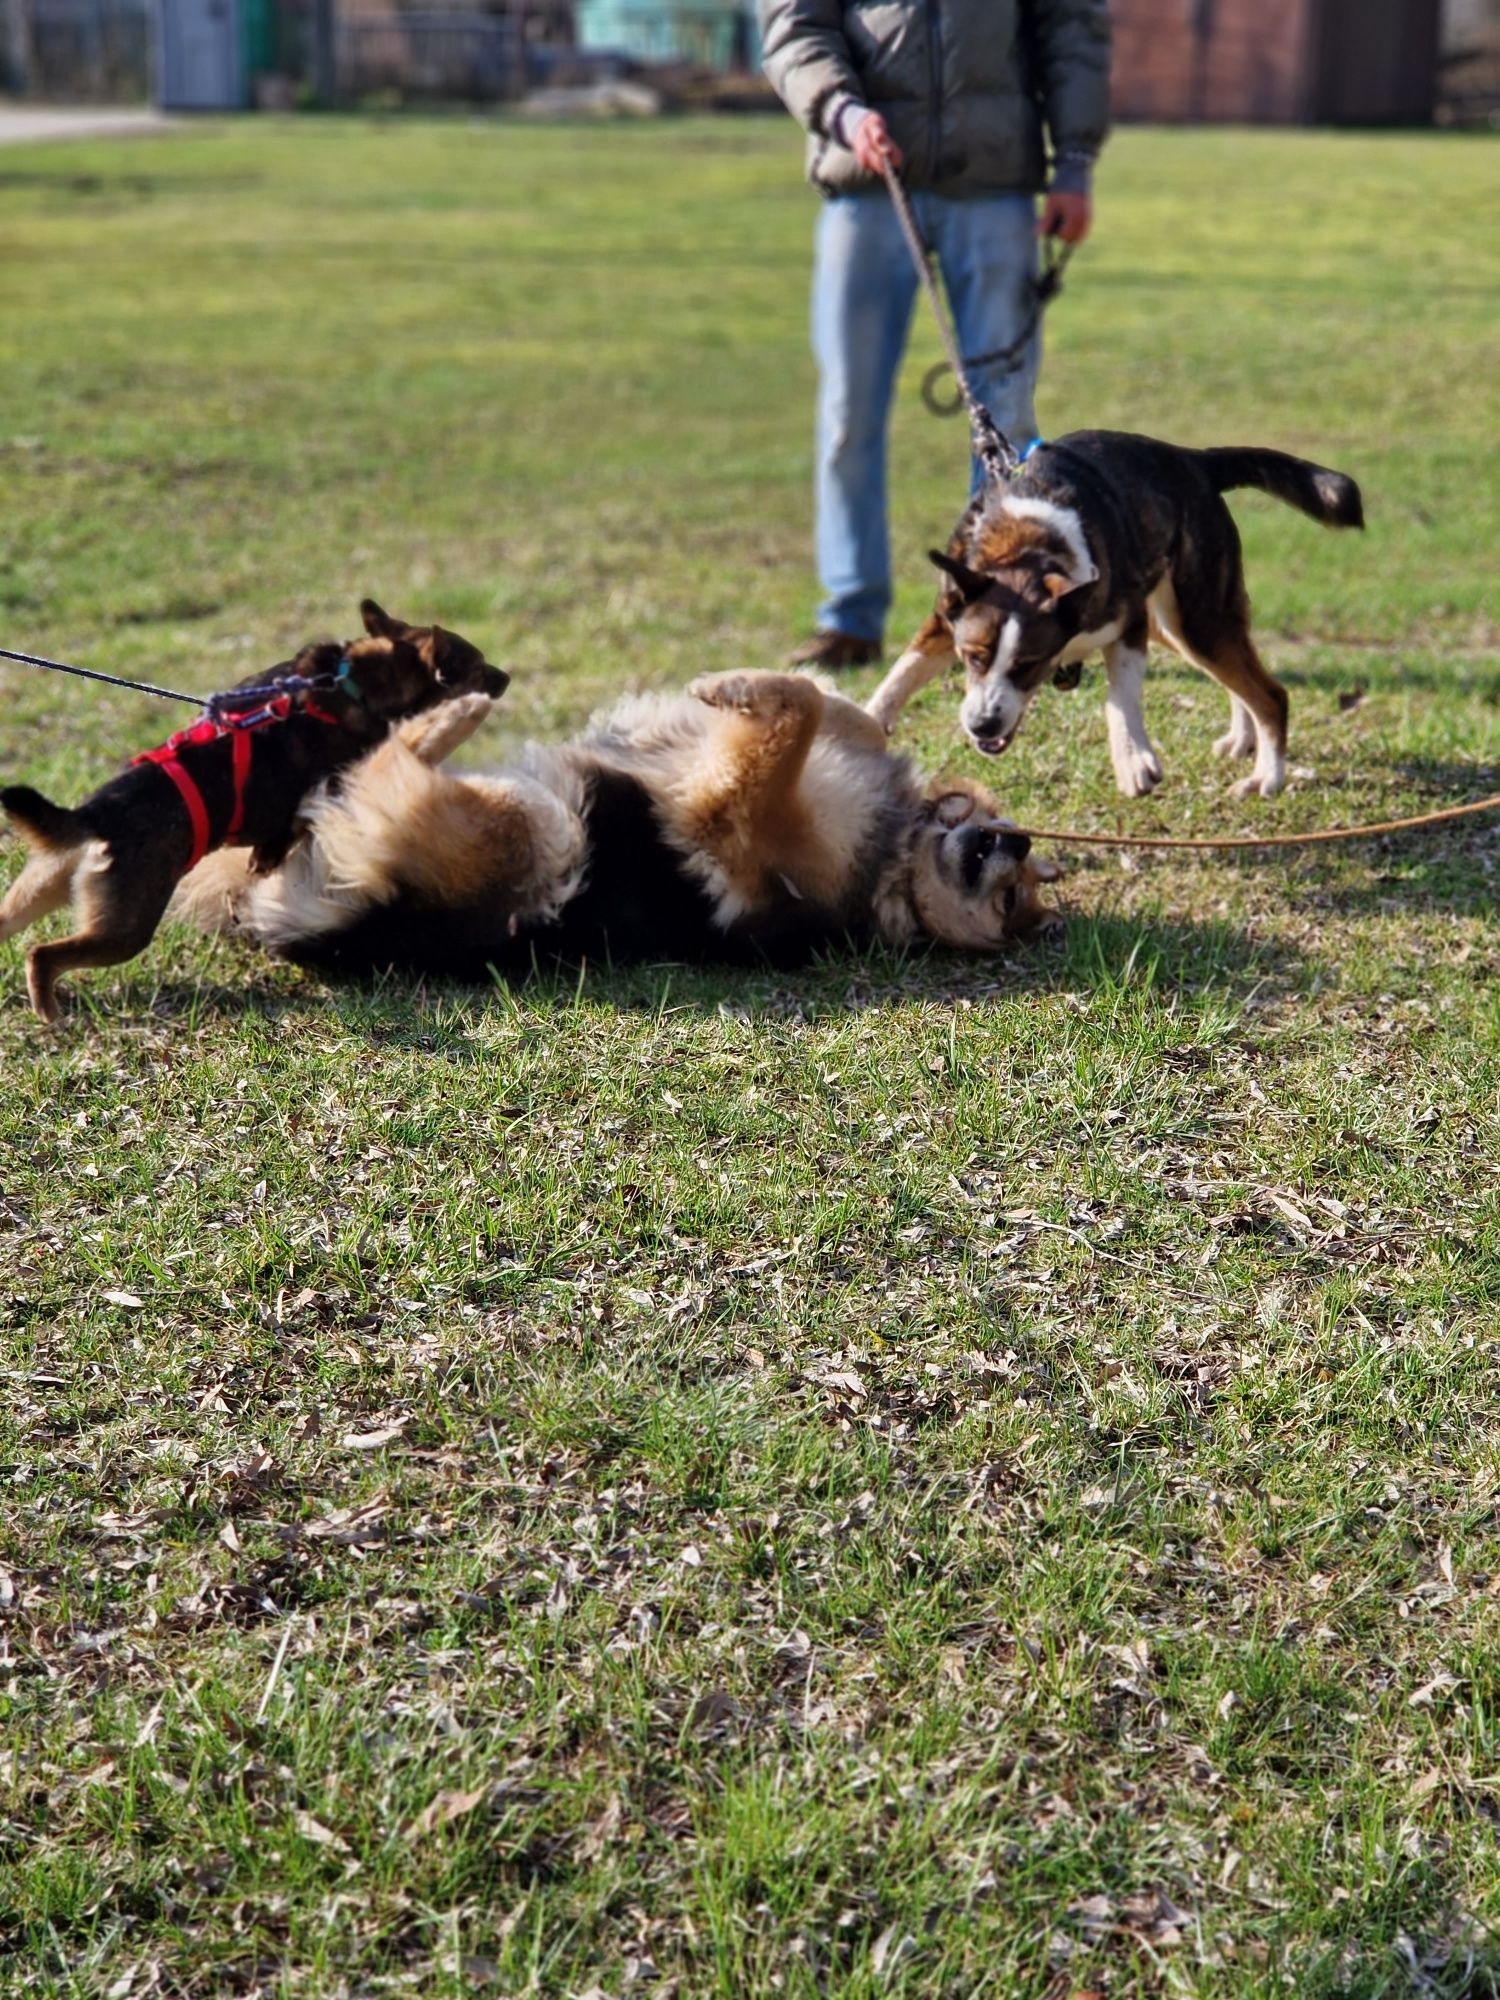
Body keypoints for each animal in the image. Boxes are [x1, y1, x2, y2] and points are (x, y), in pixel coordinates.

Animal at [0, 596, 508, 1024]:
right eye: (478, 666)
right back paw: (50, 1013)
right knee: (42, 955)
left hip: (42, 888)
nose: (505, 677)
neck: (355, 681)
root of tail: (95, 814)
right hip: (126, 926)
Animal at [179, 676, 1072, 980]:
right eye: (1015, 881)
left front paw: (730, 686)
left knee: (391, 768)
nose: (1019, 844)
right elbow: (842, 710)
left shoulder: (738, 813)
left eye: (1007, 903)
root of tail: (340, 932)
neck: (890, 872)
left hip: (540, 834)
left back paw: (445, 718)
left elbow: (795, 711)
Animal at [864, 434, 1368, 800]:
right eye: (972, 657)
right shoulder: (946, 618)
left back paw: (1267, 775)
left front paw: (1131, 760)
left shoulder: (1127, 625)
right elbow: (900, 673)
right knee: (1238, 673)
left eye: (1029, 665)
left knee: (1269, 693)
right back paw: (1242, 738)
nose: (983, 725)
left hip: (1194, 617)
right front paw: (867, 722)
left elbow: (1118, 699)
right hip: (1176, 626)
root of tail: (1193, 460)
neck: (1028, 544)